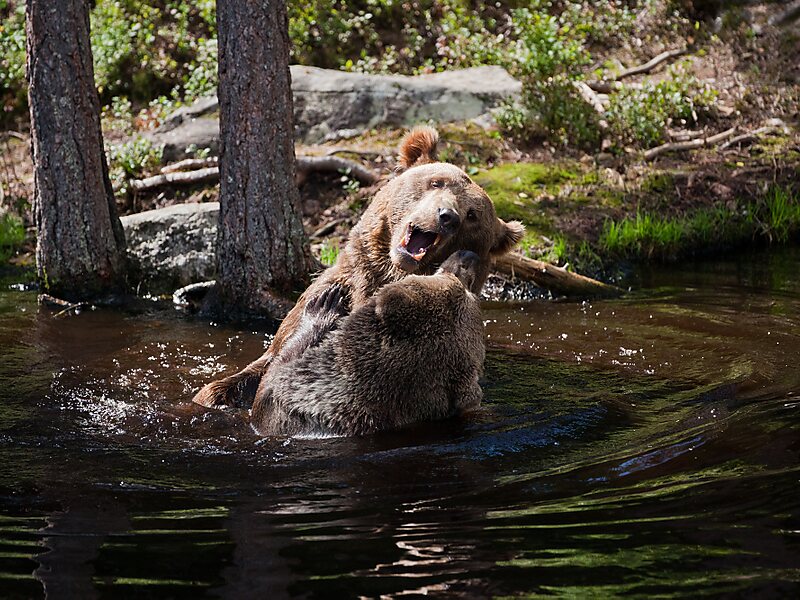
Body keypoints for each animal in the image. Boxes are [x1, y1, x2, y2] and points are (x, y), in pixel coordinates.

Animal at [192, 126, 524, 409]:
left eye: (473, 215)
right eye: (437, 182)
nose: (447, 216)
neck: (387, 270)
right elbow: (260, 365)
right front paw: (218, 394)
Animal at [251, 250, 485, 437]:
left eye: (460, 281)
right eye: (456, 276)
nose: (469, 255)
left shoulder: (279, 404)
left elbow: (272, 376)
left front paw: (324, 306)